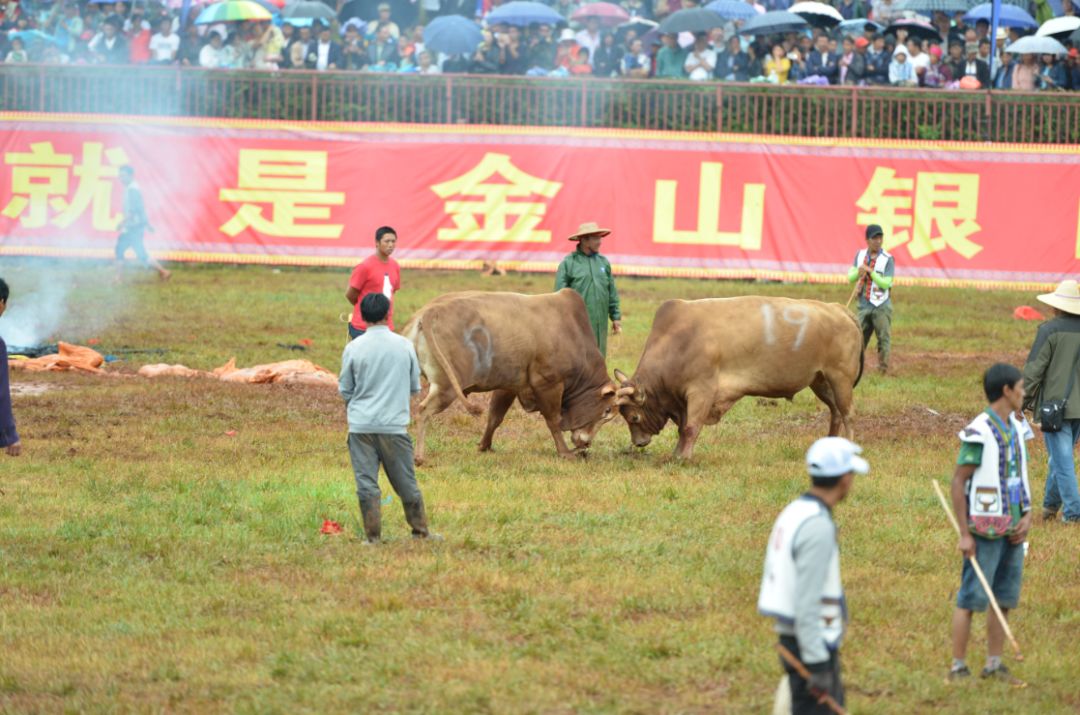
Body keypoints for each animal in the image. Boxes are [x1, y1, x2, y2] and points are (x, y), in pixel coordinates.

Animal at [401, 289, 622, 464]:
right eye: (607, 410)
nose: (586, 442)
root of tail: (430, 311)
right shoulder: (548, 384)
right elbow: (553, 420)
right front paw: (565, 452)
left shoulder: (509, 387)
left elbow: (495, 416)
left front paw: (484, 445)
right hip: (446, 387)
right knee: (424, 410)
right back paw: (418, 457)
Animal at [617, 295, 859, 460]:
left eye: (634, 417)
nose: (638, 443)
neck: (679, 341)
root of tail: (837, 309)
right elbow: (683, 427)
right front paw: (677, 454)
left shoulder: (701, 391)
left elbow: (690, 427)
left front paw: (684, 457)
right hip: (821, 381)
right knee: (836, 413)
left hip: (840, 378)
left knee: (847, 414)